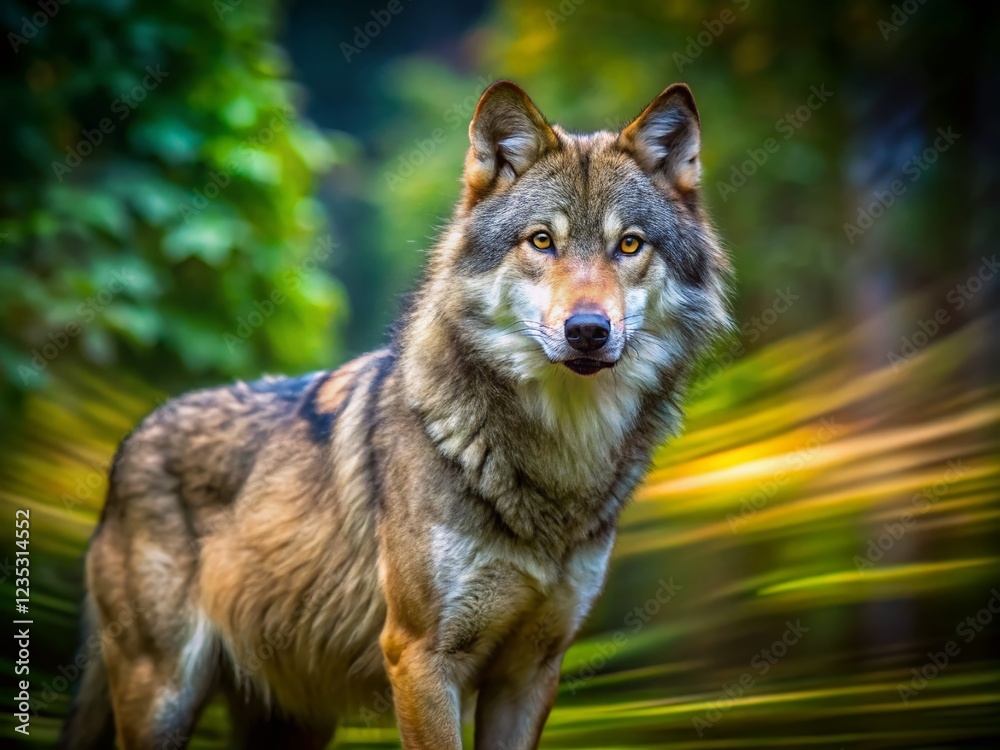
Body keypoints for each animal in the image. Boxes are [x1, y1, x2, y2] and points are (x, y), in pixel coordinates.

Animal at [60, 80, 730, 749]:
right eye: (542, 241)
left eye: (629, 244)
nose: (588, 330)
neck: (558, 457)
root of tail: (129, 443)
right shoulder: (420, 657)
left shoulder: (531, 673)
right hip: (164, 699)